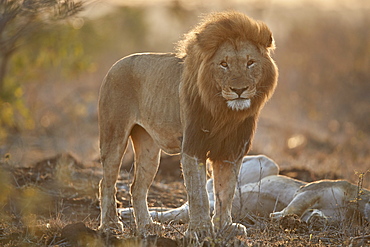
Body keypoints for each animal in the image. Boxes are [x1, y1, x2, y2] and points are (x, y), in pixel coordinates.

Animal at [98, 11, 278, 237]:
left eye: (250, 62)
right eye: (224, 64)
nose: (239, 90)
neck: (225, 113)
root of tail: (115, 65)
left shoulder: (232, 151)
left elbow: (225, 192)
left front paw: (225, 227)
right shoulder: (193, 147)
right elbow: (198, 193)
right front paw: (200, 229)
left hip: (149, 147)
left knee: (137, 187)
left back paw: (147, 226)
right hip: (114, 135)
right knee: (107, 181)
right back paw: (110, 225)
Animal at [119, 155, 370, 227]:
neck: (354, 205)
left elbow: (313, 215)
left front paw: (313, 220)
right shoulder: (310, 188)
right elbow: (296, 206)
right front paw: (281, 217)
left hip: (198, 209)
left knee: (173, 212)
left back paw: (127, 214)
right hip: (269, 164)